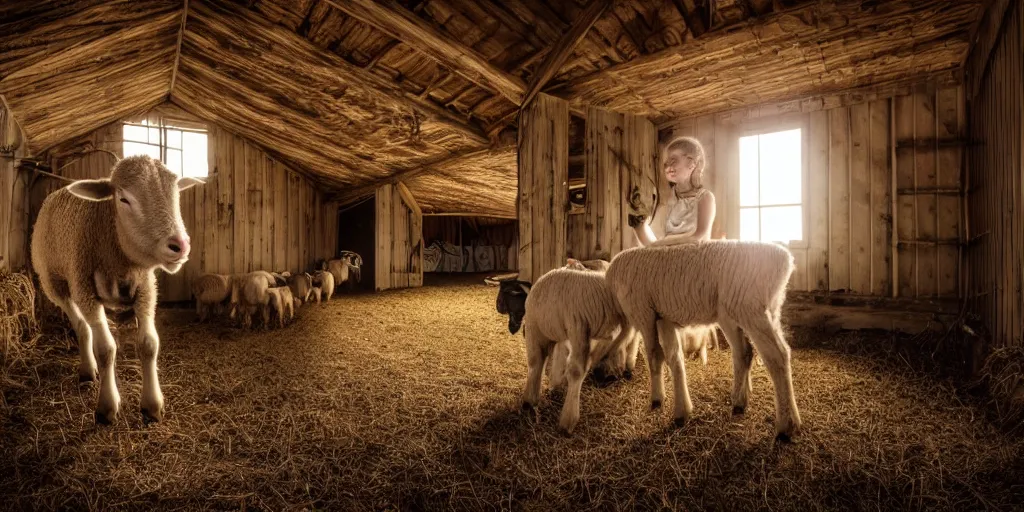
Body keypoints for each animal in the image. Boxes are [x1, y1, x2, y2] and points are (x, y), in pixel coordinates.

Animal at [30, 154, 202, 423]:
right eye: (124, 199)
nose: (180, 245)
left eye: (176, 194)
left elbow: (149, 344)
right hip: (55, 282)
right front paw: (107, 407)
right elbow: (105, 349)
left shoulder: (146, 290)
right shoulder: (85, 289)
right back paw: (87, 370)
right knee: (82, 327)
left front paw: (152, 405)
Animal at [493, 270, 630, 434]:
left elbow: (536, 362)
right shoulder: (561, 334)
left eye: (503, 294)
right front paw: (556, 382)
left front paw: (530, 400)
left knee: (578, 370)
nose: (497, 306)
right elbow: (558, 357)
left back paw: (568, 419)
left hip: (579, 326)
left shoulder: (538, 329)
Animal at [602, 239, 802, 440]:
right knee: (750, 353)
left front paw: (657, 399)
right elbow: (674, 358)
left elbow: (654, 357)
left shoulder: (644, 313)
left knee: (777, 357)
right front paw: (682, 411)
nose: (607, 377)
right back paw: (750, 406)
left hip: (751, 311)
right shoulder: (663, 318)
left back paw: (784, 426)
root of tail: (785, 259)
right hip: (758, 312)